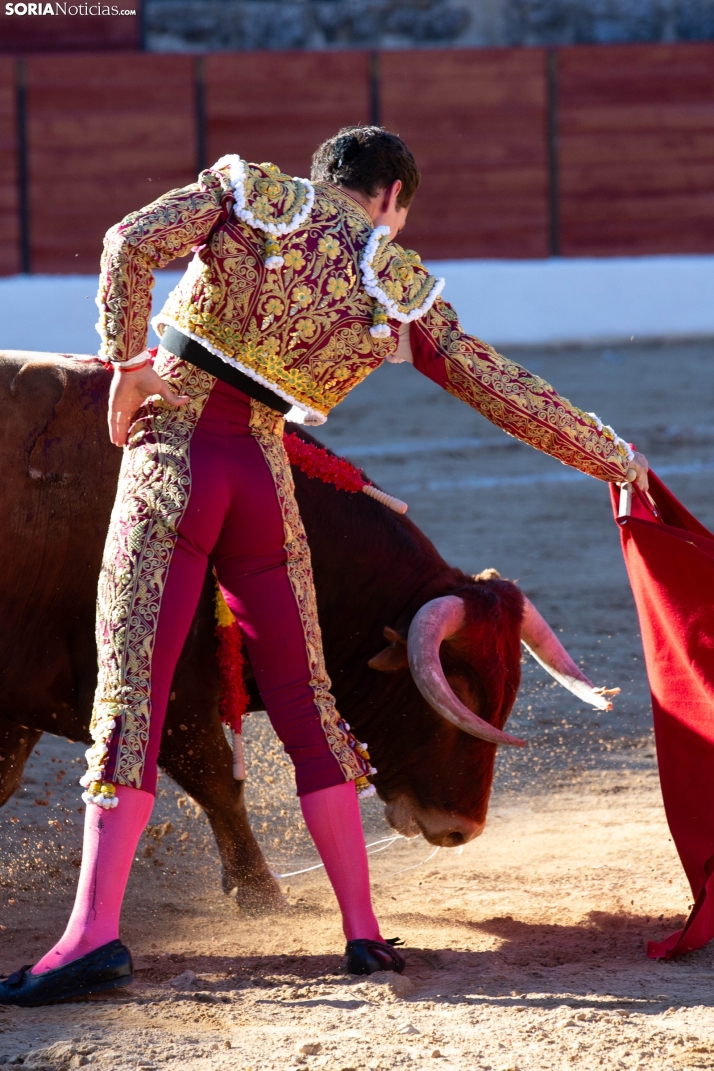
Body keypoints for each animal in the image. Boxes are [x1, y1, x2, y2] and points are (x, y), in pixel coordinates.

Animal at [0, 355, 616, 908]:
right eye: (457, 697)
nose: (462, 828)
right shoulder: (168, 698)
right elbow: (219, 783)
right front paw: (261, 893)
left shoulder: (23, 706)